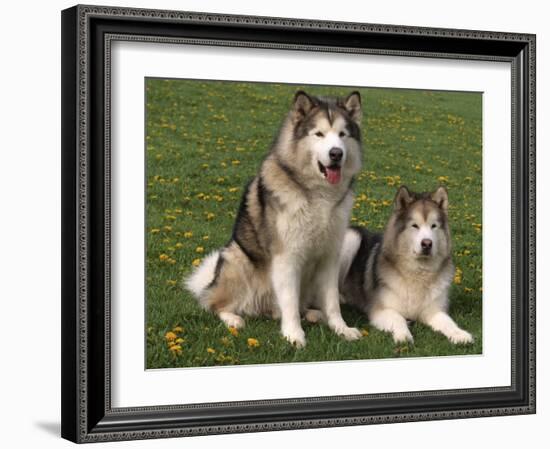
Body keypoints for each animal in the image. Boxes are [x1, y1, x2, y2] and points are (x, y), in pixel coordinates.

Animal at [187, 89, 366, 344]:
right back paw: (233, 318)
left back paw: (314, 314)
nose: (336, 153)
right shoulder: (286, 256)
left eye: (342, 135)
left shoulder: (330, 256)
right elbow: (289, 300)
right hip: (237, 260)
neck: (319, 194)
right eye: (319, 134)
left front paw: (341, 328)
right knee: (214, 304)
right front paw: (293, 334)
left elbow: (332, 301)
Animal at [340, 186, 474, 344]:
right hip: (352, 237)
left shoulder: (434, 311)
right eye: (414, 226)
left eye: (434, 226)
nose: (427, 243)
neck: (419, 273)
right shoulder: (381, 310)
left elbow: (448, 322)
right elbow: (399, 318)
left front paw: (460, 334)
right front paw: (403, 335)